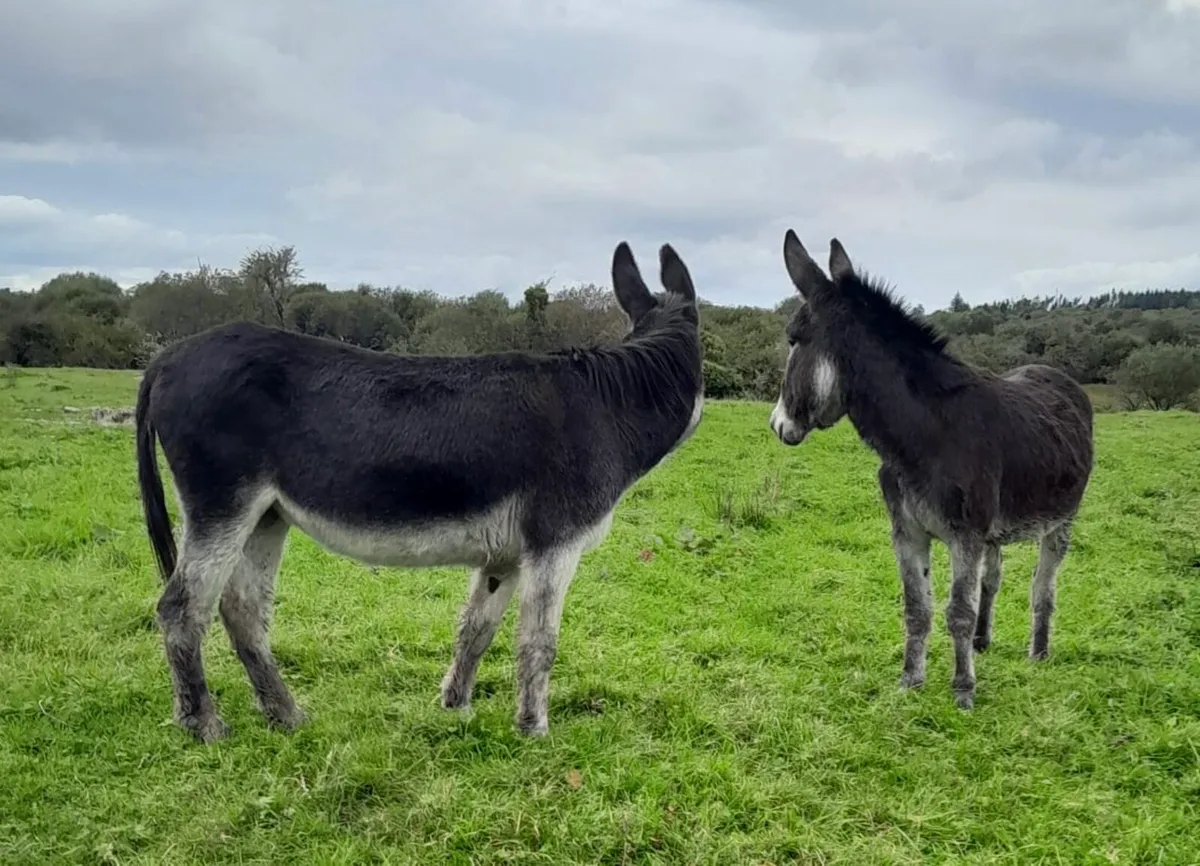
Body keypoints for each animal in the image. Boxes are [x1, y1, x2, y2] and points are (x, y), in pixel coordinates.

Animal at [769, 230, 1094, 709]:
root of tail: (1056, 375)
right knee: (992, 581)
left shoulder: (965, 536)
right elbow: (917, 608)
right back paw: (982, 643)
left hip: (1060, 522)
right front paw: (910, 681)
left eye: (793, 340)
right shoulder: (908, 533)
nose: (777, 425)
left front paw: (962, 690)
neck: (923, 437)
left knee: (1042, 588)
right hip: (995, 533)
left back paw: (1038, 653)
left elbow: (957, 611)